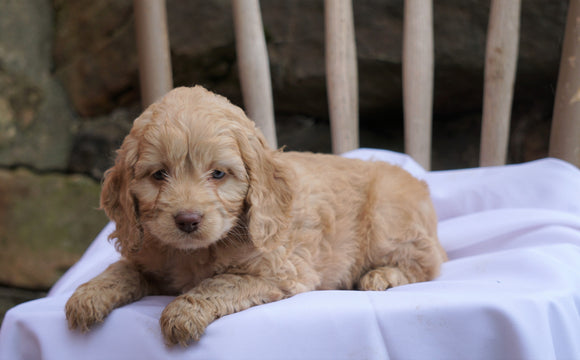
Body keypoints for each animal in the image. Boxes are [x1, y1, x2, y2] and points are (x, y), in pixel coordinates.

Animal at [67, 85, 448, 346]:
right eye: (159, 174)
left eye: (218, 174)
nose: (187, 220)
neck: (194, 253)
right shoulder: (149, 255)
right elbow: (122, 269)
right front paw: (87, 296)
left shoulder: (279, 273)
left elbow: (221, 282)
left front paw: (182, 312)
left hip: (387, 220)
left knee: (426, 263)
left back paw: (382, 276)